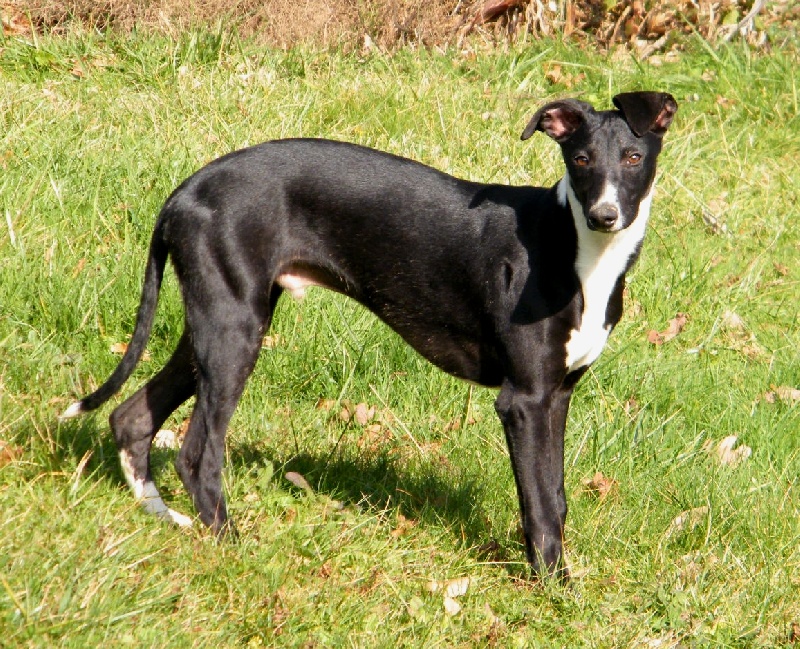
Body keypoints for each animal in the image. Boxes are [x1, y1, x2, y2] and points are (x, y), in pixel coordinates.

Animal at [62, 91, 676, 576]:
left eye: (633, 157)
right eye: (580, 159)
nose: (604, 215)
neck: (575, 248)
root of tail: (184, 192)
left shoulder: (558, 393)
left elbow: (558, 496)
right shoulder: (523, 401)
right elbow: (540, 505)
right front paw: (553, 589)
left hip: (217, 323)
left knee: (132, 416)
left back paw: (166, 518)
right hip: (234, 331)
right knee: (196, 455)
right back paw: (231, 545)